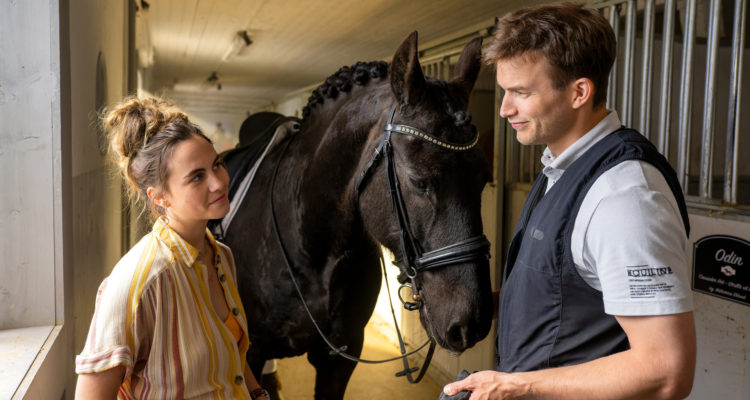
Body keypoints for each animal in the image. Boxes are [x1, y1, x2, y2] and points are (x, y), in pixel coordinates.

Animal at [222, 32, 494, 398]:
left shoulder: (341, 358)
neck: (310, 244)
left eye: (483, 178)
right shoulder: (250, 354)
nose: (472, 323)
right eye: (419, 181)